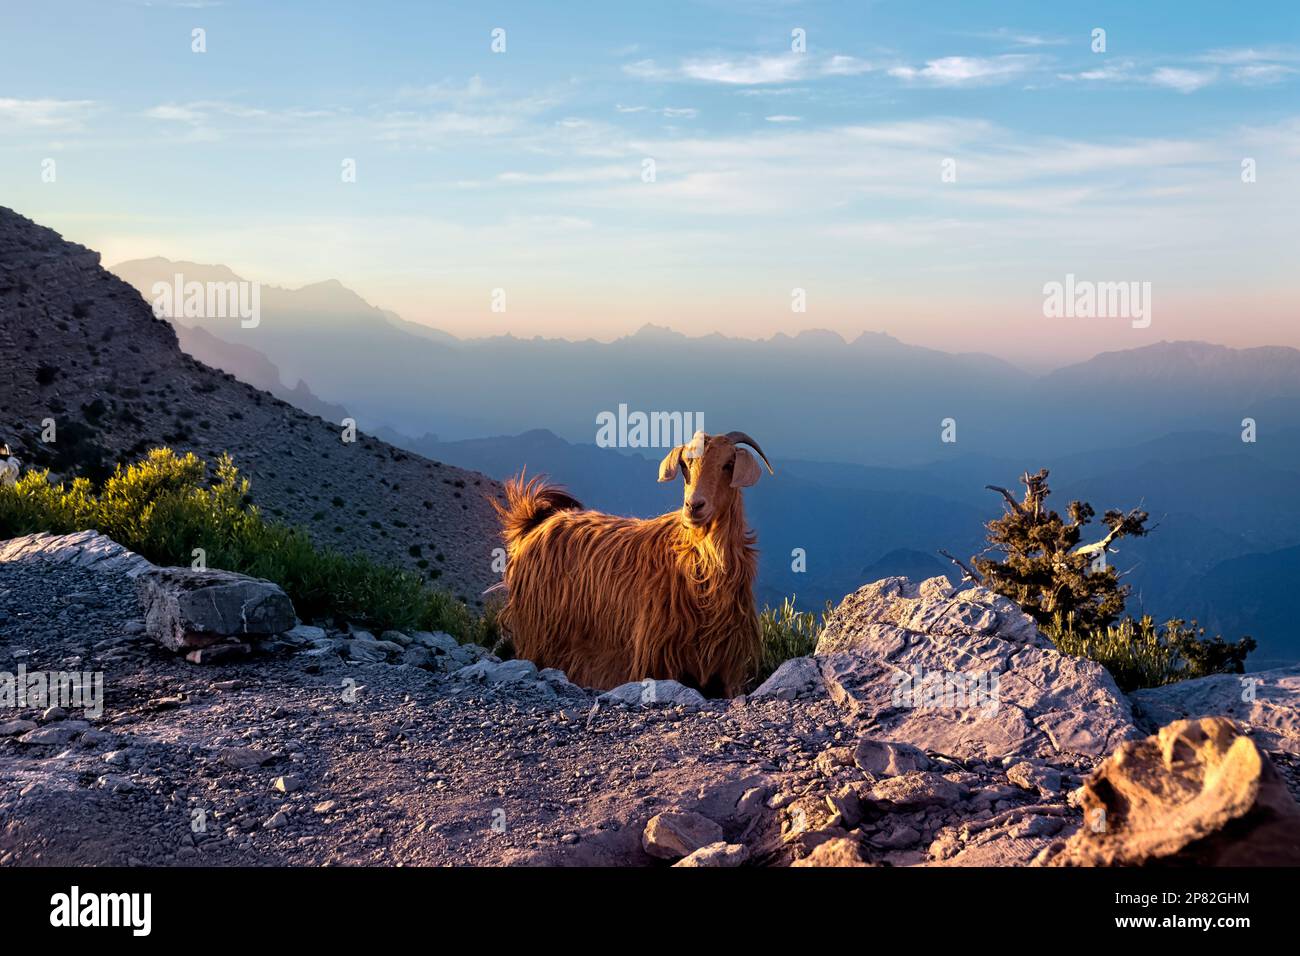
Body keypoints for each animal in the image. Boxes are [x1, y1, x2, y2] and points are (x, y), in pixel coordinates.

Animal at [488, 431, 769, 697]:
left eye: (728, 464)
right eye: (684, 465)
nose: (693, 506)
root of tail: (537, 523)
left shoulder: (725, 668)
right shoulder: (657, 658)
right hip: (538, 637)